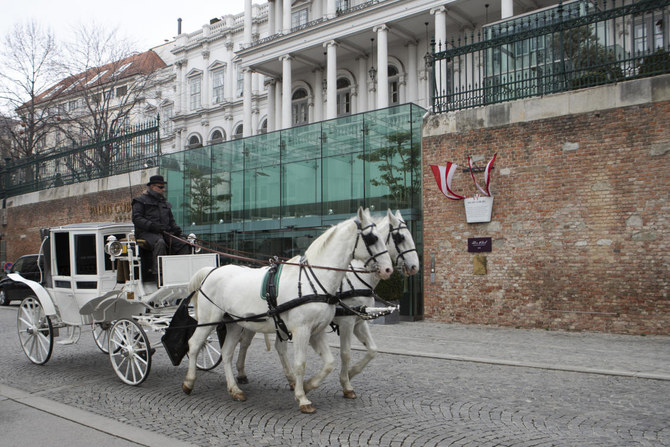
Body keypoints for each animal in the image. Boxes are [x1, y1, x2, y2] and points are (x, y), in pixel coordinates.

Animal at [181, 208, 396, 414]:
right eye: (372, 238)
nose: (388, 269)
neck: (316, 280)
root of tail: (211, 271)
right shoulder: (303, 330)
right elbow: (300, 363)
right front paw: (303, 398)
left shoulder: (317, 331)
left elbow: (329, 362)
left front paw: (308, 385)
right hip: (209, 319)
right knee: (195, 344)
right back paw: (189, 382)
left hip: (235, 323)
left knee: (227, 353)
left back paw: (235, 390)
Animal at [234, 210, 418, 400]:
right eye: (400, 237)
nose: (414, 266)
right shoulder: (346, 322)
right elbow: (345, 353)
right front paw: (346, 383)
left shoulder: (359, 321)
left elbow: (372, 350)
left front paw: (351, 373)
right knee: (248, 343)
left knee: (267, 345)